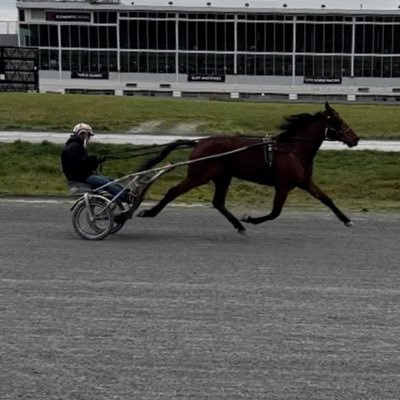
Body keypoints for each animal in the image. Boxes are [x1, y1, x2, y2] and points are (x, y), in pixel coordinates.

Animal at [137, 101, 360, 233]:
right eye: (339, 121)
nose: (356, 139)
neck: (293, 149)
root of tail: (199, 142)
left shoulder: (305, 182)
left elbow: (327, 199)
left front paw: (347, 220)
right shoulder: (283, 186)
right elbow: (275, 212)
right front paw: (250, 218)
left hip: (223, 177)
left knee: (218, 202)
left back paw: (238, 225)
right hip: (199, 175)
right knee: (173, 191)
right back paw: (148, 213)